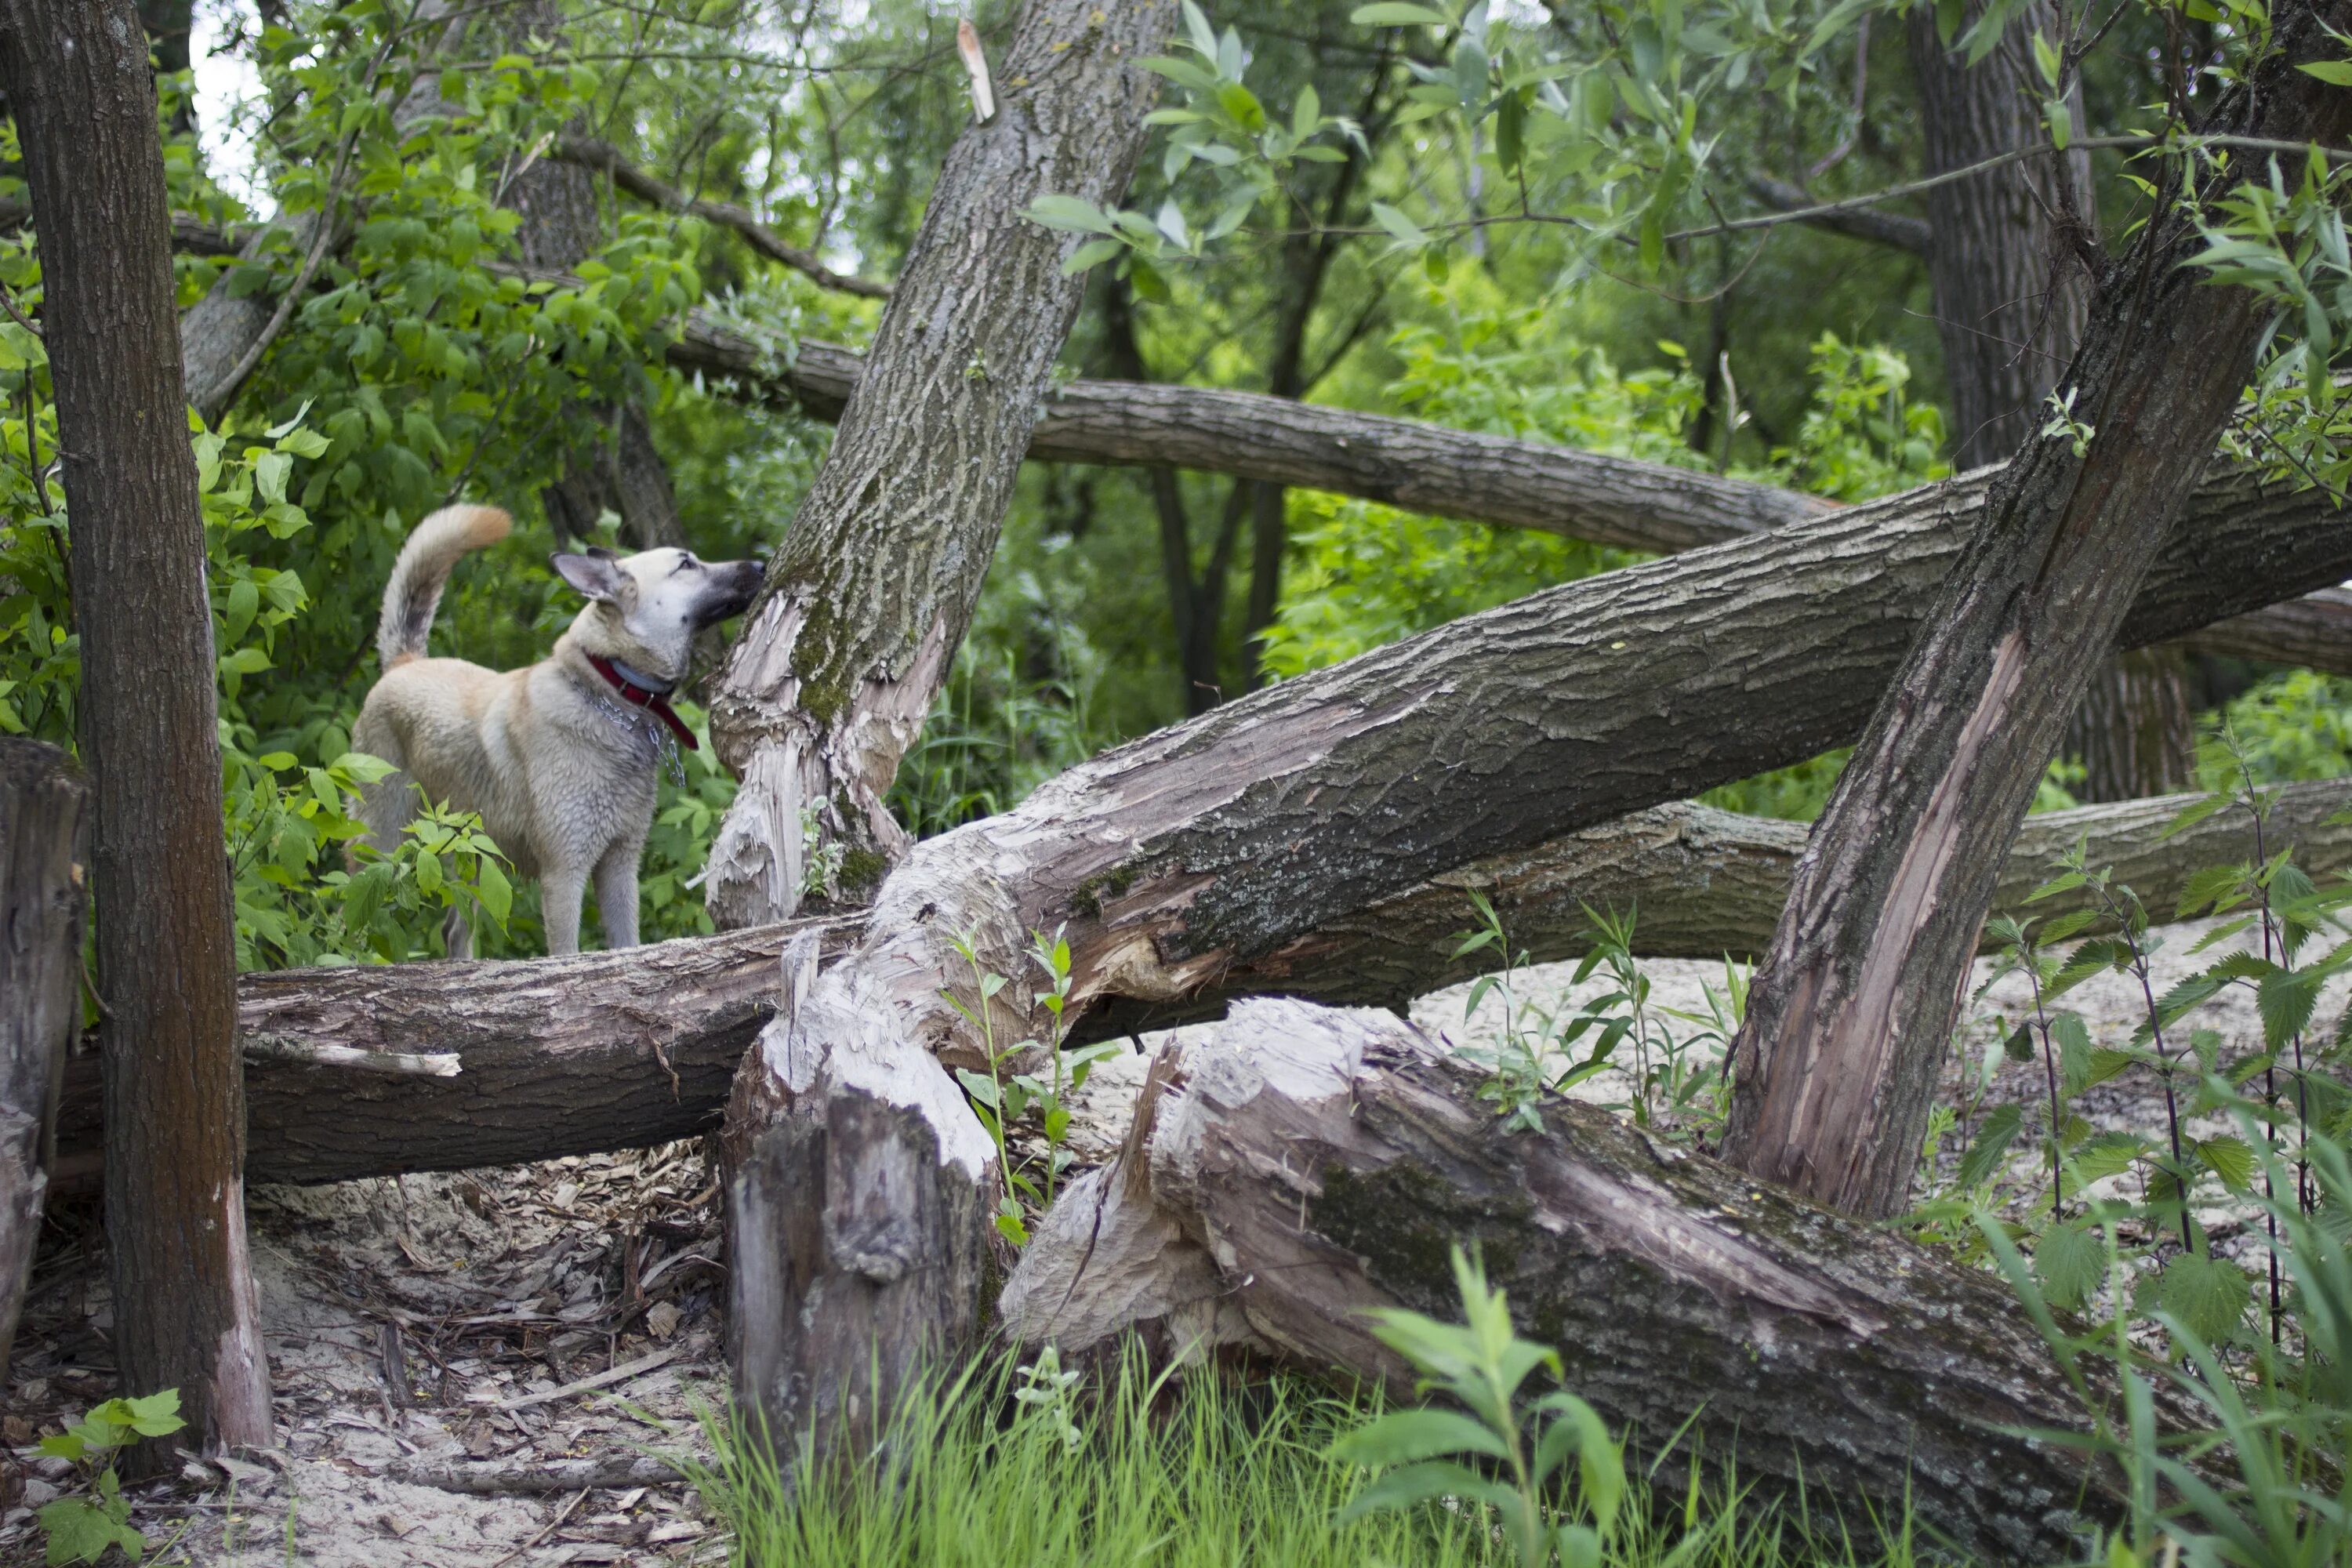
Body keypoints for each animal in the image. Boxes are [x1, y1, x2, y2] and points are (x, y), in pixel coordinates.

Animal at [353, 505, 757, 959]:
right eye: (686, 565)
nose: (761, 565)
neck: (604, 691)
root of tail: (404, 663)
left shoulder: (620, 866)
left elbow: (626, 944)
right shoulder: (565, 873)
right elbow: (567, 954)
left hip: (474, 856)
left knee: (454, 930)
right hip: (381, 847)